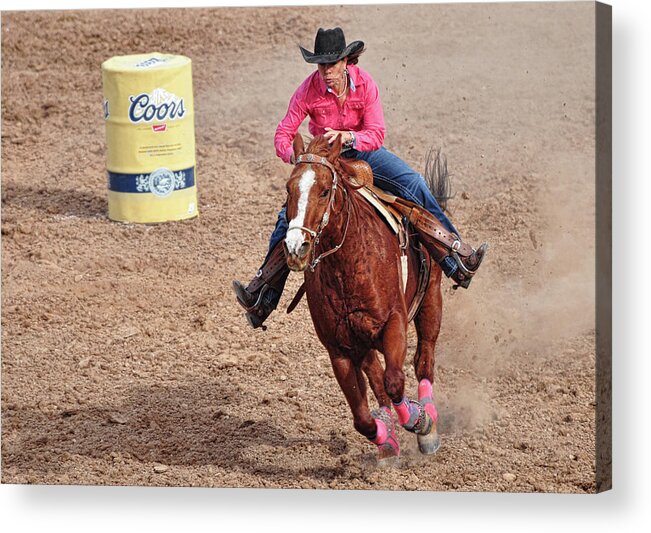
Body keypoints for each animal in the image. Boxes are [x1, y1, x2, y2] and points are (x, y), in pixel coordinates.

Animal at [282, 133, 446, 462]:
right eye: (288, 189)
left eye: (324, 191)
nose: (295, 248)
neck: (347, 264)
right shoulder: (338, 349)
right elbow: (361, 417)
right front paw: (386, 439)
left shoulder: (394, 323)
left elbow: (395, 382)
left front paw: (418, 421)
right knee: (376, 377)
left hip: (431, 300)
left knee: (423, 362)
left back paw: (428, 426)